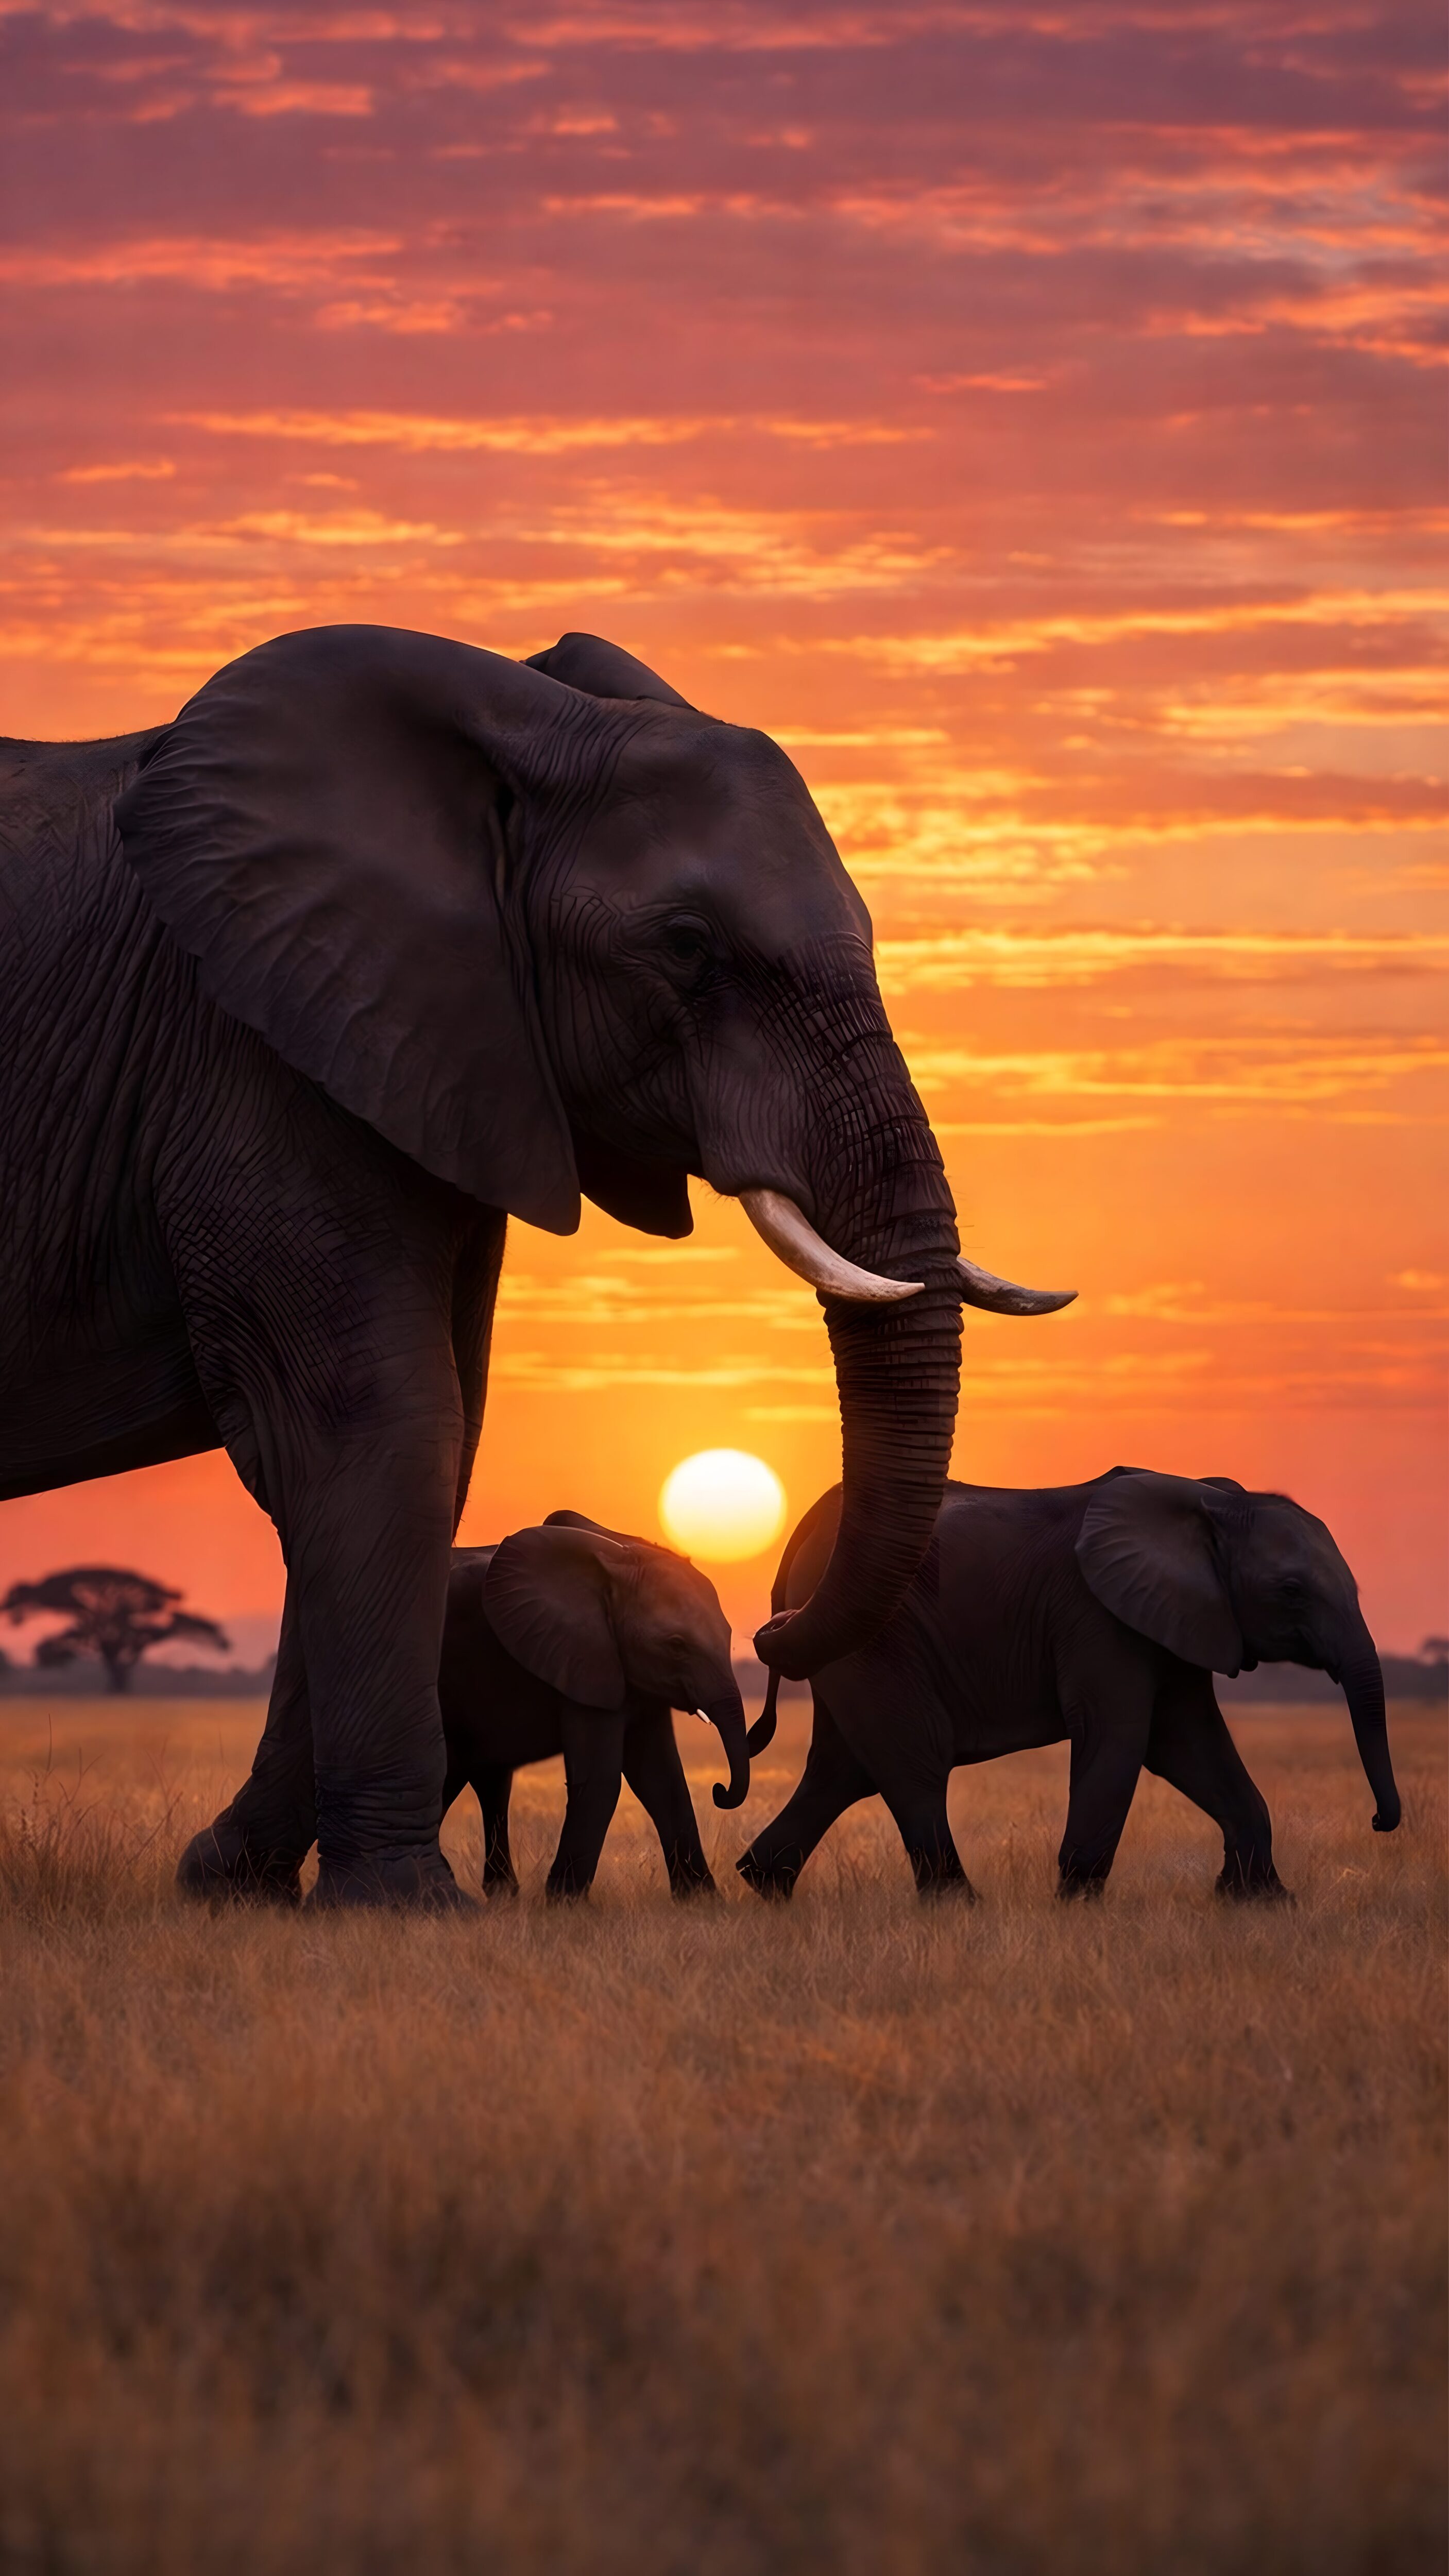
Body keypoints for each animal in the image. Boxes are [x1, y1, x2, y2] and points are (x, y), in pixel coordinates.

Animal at [436, 1511, 745, 1903]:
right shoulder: (582, 1657)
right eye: (676, 1645)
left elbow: (662, 1780)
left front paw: (703, 1902)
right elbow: (602, 1780)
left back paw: (496, 1892)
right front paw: (563, 1904)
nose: (720, 1790)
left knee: (482, 1778)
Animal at [738, 1469, 1400, 1903]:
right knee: (912, 1761)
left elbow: (1189, 1741)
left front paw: (1259, 1902)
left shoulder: (1176, 1619)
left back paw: (763, 1884)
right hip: (877, 1643)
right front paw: (1077, 1908)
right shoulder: (1097, 1615)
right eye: (1290, 1590)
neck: (1210, 1502)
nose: (1378, 1822)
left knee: (842, 1769)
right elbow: (1122, 1736)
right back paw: (960, 1907)